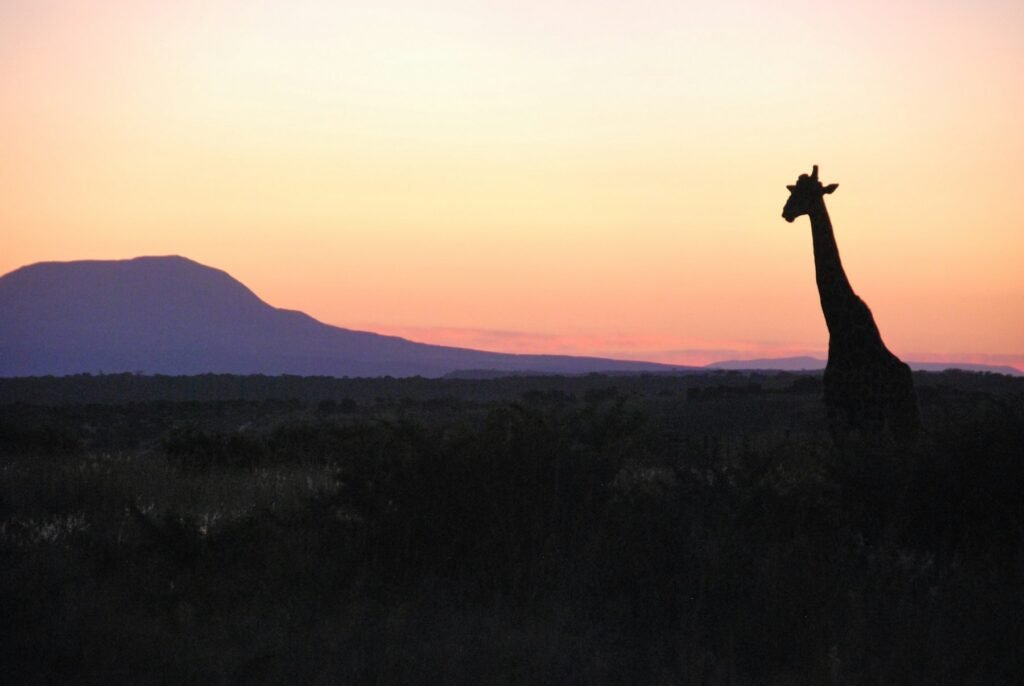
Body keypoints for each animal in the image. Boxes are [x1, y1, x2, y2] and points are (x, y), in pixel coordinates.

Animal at [782, 165, 919, 442]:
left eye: (812, 193)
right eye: (795, 189)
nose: (786, 211)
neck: (837, 328)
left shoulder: (868, 411)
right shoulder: (835, 408)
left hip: (903, 417)